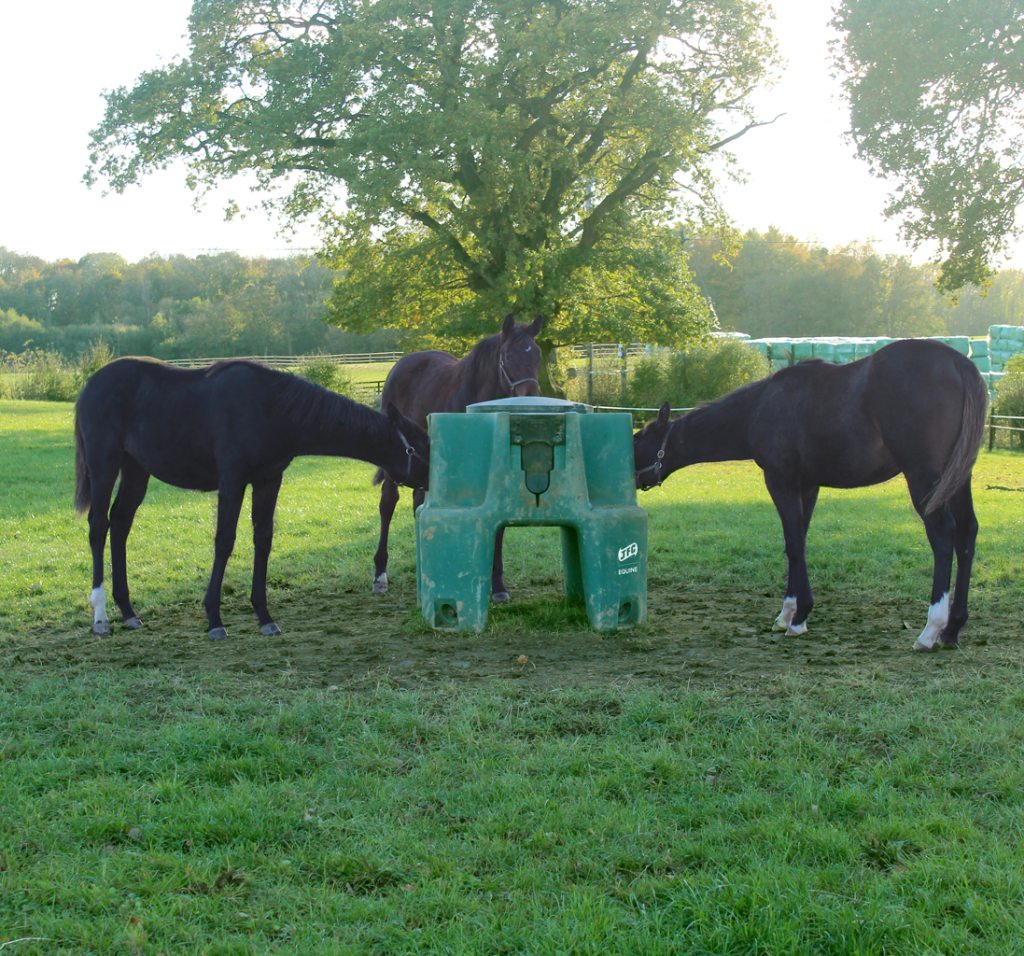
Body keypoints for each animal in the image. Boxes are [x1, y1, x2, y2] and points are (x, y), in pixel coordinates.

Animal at [74, 360, 428, 642]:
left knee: (120, 524)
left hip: (136, 469)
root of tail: (91, 384)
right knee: (99, 527)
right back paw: (100, 617)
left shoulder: (268, 480)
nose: (432, 481)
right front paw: (214, 619)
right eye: (422, 446)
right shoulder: (232, 480)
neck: (270, 409)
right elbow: (224, 541)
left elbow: (263, 540)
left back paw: (128, 611)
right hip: (105, 464)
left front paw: (264, 615)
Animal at [368, 315, 544, 597]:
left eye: (537, 355)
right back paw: (380, 574)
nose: (530, 401)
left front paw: (497, 584)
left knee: (418, 502)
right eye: (509, 356)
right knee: (388, 503)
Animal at [634, 339, 987, 655]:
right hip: (958, 479)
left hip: (924, 478)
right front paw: (787, 613)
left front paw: (799, 616)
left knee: (943, 535)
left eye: (637, 441)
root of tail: (958, 361)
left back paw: (930, 631)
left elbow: (792, 543)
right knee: (967, 533)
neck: (761, 407)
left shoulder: (781, 481)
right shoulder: (808, 485)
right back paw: (953, 628)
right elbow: (798, 542)